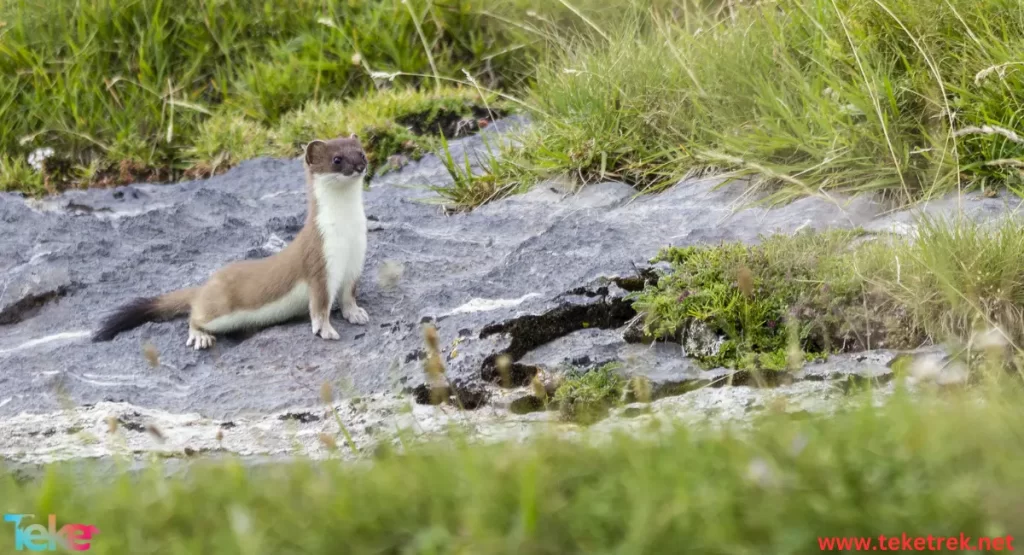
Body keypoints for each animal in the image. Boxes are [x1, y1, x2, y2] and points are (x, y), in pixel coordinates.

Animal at [92, 134, 372, 350]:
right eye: (337, 159)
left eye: (361, 152)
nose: (360, 165)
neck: (347, 231)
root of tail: (206, 284)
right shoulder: (319, 261)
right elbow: (320, 305)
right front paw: (326, 330)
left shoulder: (356, 260)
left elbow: (349, 294)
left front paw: (356, 314)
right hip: (219, 309)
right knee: (194, 315)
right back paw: (200, 337)